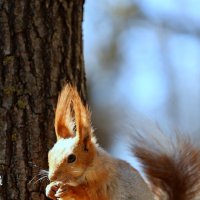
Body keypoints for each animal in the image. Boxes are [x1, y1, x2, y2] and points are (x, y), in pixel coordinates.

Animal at [46, 84, 200, 200]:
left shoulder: (103, 185)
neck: (91, 167)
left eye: (72, 158)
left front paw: (69, 190)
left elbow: (88, 194)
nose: (52, 177)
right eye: (50, 153)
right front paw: (50, 189)